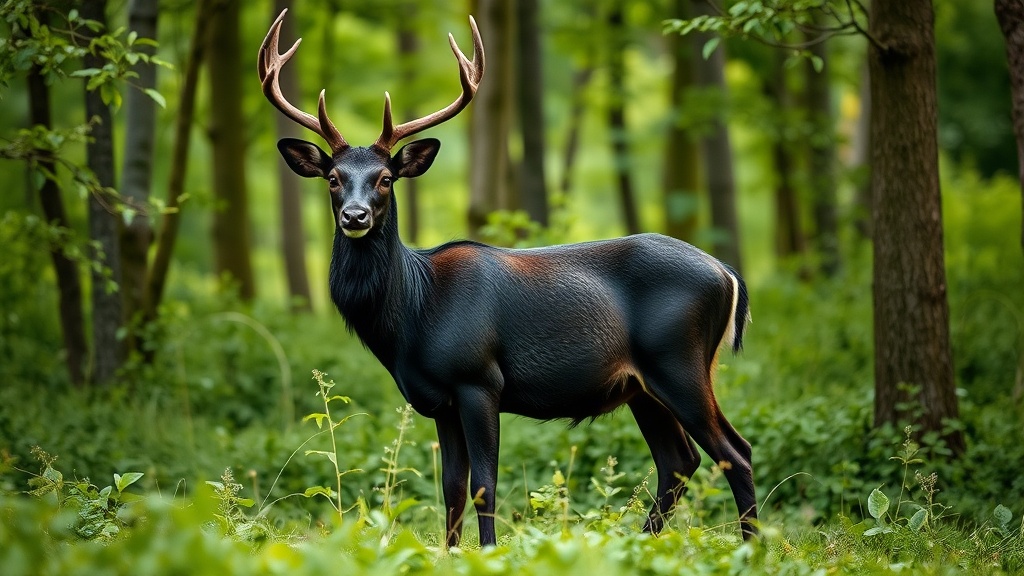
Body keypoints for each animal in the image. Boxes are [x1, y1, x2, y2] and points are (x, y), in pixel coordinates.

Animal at [258, 9, 757, 547]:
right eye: (333, 178)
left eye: (385, 179)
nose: (355, 216)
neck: (414, 312)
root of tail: (727, 273)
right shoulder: (440, 401)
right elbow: (452, 486)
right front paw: (450, 554)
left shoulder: (479, 379)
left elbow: (484, 482)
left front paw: (490, 551)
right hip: (642, 385)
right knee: (679, 461)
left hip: (679, 361)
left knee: (735, 451)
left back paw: (751, 547)